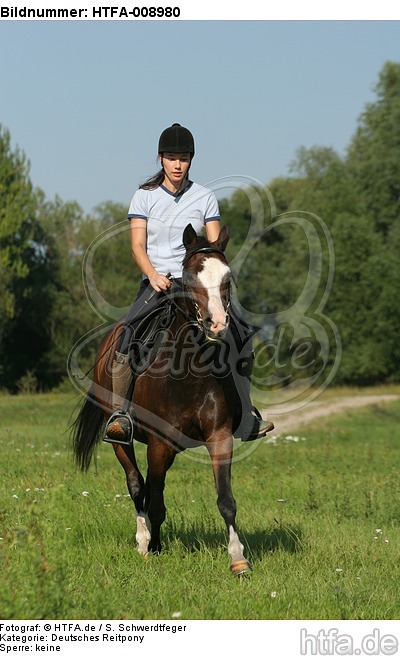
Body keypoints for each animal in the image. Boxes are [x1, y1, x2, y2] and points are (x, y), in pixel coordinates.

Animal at [72, 223, 252, 576]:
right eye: (190, 278)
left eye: (227, 278)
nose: (216, 325)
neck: (189, 373)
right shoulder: (158, 444)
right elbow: (154, 500)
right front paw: (154, 548)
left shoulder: (220, 436)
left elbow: (226, 499)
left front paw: (238, 559)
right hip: (122, 440)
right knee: (136, 484)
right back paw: (143, 542)